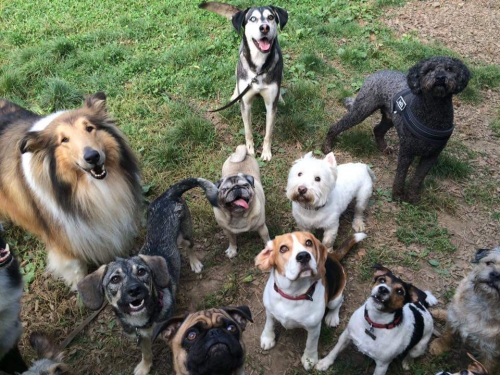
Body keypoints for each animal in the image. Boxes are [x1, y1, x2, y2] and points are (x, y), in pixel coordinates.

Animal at [0, 92, 142, 290]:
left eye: (89, 128)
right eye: (64, 140)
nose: (92, 156)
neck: (89, 187)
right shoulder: (64, 241)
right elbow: (76, 269)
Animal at [197, 2, 288, 162]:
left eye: (271, 17)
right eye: (253, 19)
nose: (264, 27)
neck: (258, 66)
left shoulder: (270, 105)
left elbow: (268, 133)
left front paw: (266, 152)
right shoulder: (246, 103)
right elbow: (248, 131)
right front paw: (250, 150)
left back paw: (282, 99)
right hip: (237, 66)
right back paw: (234, 95)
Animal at [256, 232, 366, 370]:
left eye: (308, 242)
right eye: (283, 248)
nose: (303, 256)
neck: (293, 294)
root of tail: (333, 256)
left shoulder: (313, 327)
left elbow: (311, 343)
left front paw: (309, 359)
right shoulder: (270, 310)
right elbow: (269, 323)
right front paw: (268, 338)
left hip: (334, 299)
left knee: (340, 301)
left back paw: (332, 317)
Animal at [322, 55, 470, 203]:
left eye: (449, 69)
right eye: (429, 70)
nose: (440, 77)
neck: (433, 114)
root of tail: (380, 71)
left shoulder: (431, 156)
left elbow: (418, 179)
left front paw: (412, 196)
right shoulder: (406, 152)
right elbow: (401, 176)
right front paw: (398, 195)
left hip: (388, 119)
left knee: (377, 130)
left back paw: (383, 147)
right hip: (361, 110)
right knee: (336, 126)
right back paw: (327, 146)